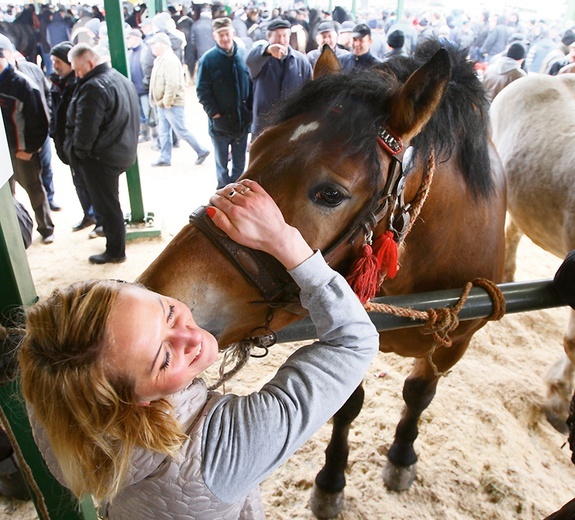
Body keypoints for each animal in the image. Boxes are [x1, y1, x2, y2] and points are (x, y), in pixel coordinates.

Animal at [138, 41, 504, 520]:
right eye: (254, 149)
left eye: (331, 194)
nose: (159, 294)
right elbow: (346, 406)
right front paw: (331, 482)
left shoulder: (456, 341)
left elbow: (419, 393)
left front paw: (402, 455)